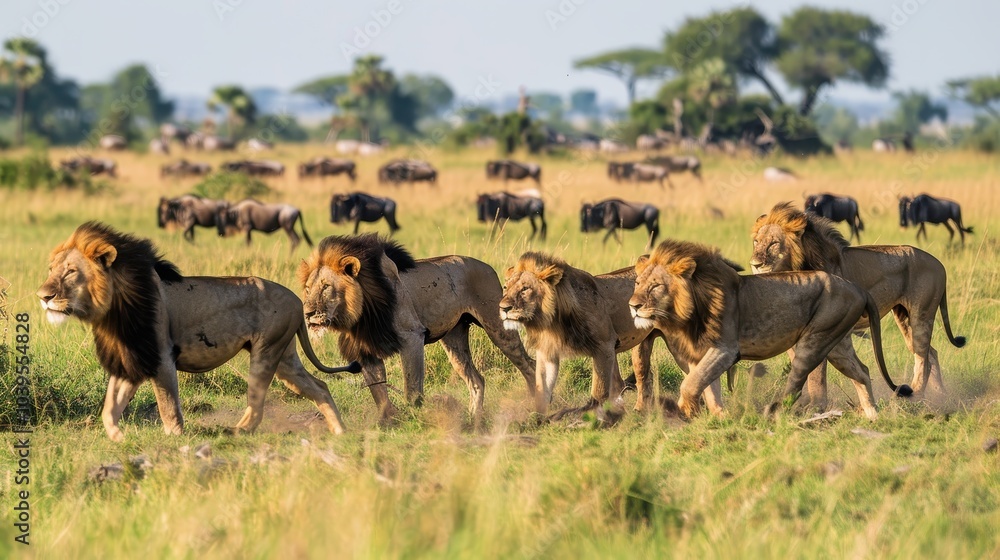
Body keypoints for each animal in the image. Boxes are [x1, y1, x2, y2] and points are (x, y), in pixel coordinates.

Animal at [36, 222, 359, 442]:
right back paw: (340, 431)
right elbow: (110, 406)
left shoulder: (161, 356)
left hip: (267, 352)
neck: (115, 307)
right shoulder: (131, 355)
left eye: (70, 272)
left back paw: (236, 431)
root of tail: (297, 299)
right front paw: (119, 437)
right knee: (320, 386)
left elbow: (168, 404)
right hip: (285, 358)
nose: (43, 296)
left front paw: (175, 438)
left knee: (256, 402)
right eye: (51, 269)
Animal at [298, 233, 536, 424]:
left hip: (498, 327)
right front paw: (388, 422)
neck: (363, 312)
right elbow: (378, 391)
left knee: (530, 366)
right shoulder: (365, 350)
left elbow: (412, 389)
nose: (307, 313)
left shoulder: (411, 336)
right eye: (308, 288)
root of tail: (487, 266)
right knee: (477, 380)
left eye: (326, 287)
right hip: (454, 339)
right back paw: (473, 419)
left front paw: (416, 420)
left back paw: (536, 408)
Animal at [498, 252, 722, 416]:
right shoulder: (547, 352)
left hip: (675, 345)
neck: (551, 320)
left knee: (697, 369)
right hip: (641, 347)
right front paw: (536, 417)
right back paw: (640, 411)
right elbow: (542, 387)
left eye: (525, 289)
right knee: (644, 376)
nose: (503, 307)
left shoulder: (604, 346)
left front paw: (590, 416)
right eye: (505, 287)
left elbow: (598, 388)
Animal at [629, 238, 912, 420]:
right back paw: (872, 415)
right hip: (837, 344)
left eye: (656, 286)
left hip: (815, 339)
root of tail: (857, 288)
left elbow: (691, 383)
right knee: (862, 372)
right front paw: (719, 416)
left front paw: (684, 409)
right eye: (638, 283)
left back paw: (774, 412)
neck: (685, 312)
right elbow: (707, 386)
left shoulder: (725, 349)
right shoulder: (699, 353)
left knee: (796, 383)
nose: (633, 306)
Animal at [750, 202, 966, 405]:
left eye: (774, 243)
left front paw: (814, 406)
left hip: (922, 314)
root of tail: (939, 263)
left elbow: (815, 375)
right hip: (904, 318)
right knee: (931, 353)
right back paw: (939, 395)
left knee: (922, 357)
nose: (755, 264)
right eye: (756, 242)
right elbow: (801, 369)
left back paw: (915, 397)